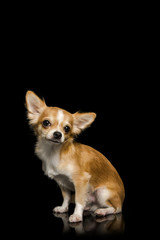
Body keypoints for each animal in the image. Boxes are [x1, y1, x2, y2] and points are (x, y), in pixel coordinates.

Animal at [25, 91, 124, 222]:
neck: (54, 153)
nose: (58, 134)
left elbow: (78, 200)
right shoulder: (61, 182)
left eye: (67, 128)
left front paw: (77, 215)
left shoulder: (81, 180)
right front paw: (63, 208)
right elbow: (66, 197)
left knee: (116, 209)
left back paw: (102, 211)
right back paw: (89, 208)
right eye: (46, 123)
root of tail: (122, 199)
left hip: (102, 193)